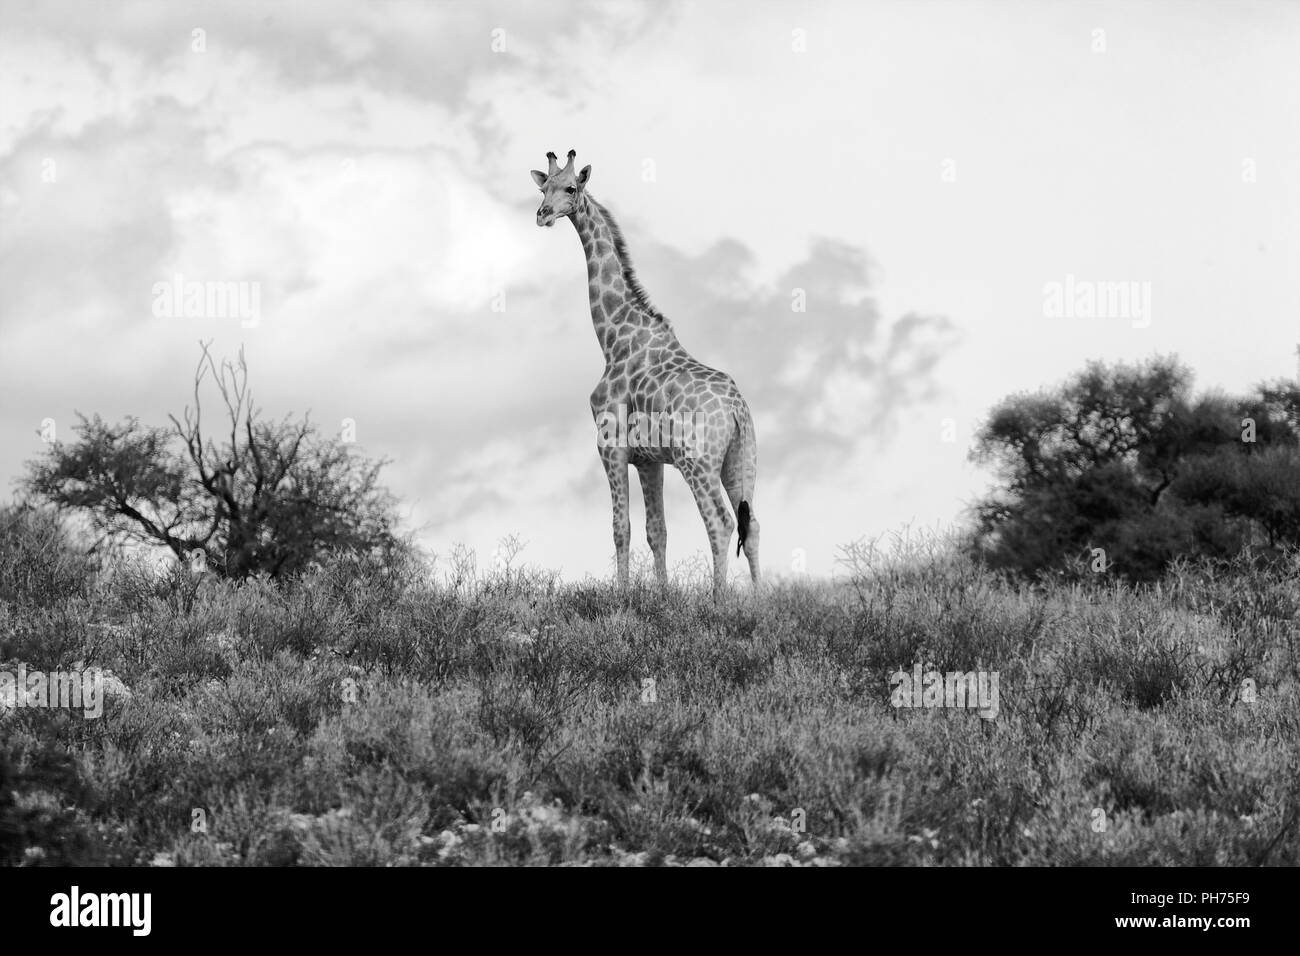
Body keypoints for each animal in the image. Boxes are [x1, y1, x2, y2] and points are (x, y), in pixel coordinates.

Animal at [530, 148, 759, 598]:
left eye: (571, 188)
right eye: (543, 187)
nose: (543, 214)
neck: (613, 335)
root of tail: (736, 409)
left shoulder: (610, 446)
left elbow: (622, 527)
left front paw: (622, 595)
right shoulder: (649, 461)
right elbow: (658, 531)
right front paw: (663, 594)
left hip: (697, 462)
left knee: (721, 522)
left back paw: (719, 599)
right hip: (742, 460)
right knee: (752, 524)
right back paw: (763, 599)